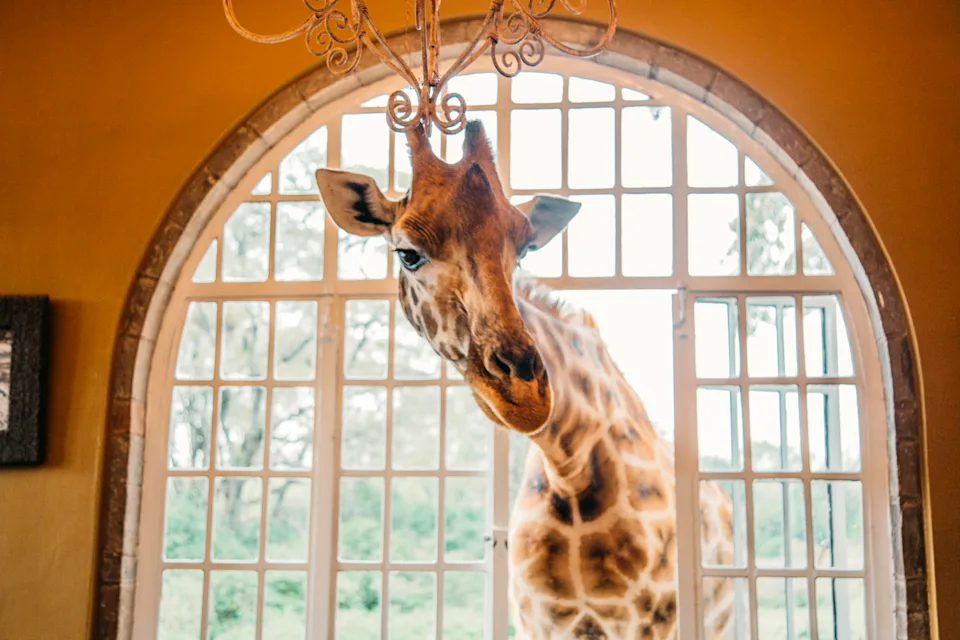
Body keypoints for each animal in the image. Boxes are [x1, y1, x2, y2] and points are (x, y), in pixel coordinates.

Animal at [316, 120, 735, 639]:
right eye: (408, 254)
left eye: (522, 251)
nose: (526, 394)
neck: (569, 469)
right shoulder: (538, 620)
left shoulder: (653, 621)